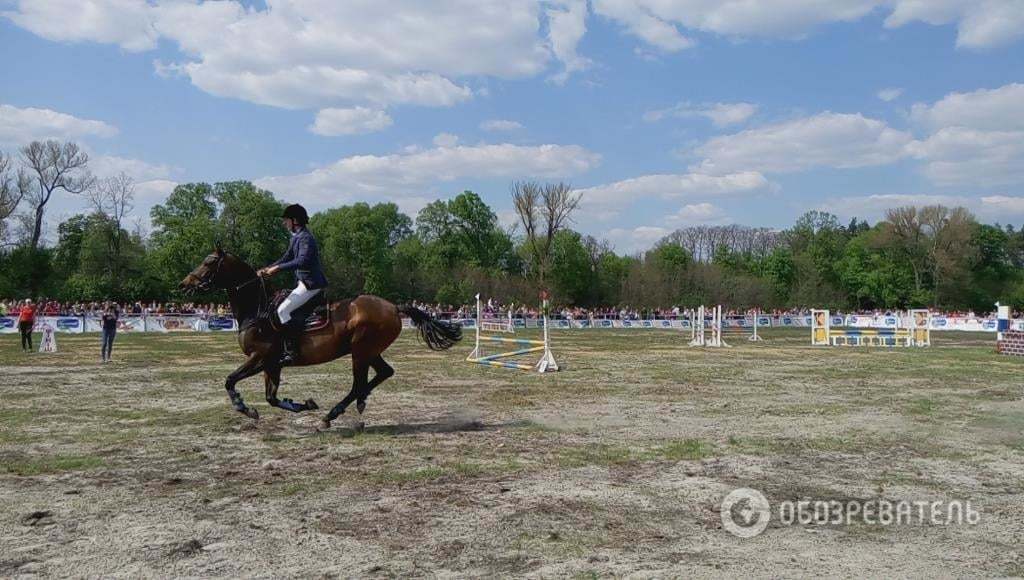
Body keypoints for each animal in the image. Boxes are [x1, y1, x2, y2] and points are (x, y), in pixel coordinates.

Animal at [180, 247, 460, 430]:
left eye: (208, 262)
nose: (184, 284)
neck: (256, 309)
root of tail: (393, 307)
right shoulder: (271, 363)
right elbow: (271, 397)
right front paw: (302, 404)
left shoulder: (260, 357)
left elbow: (231, 380)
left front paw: (243, 407)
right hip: (369, 351)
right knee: (383, 373)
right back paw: (358, 403)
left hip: (360, 352)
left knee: (359, 383)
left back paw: (333, 415)